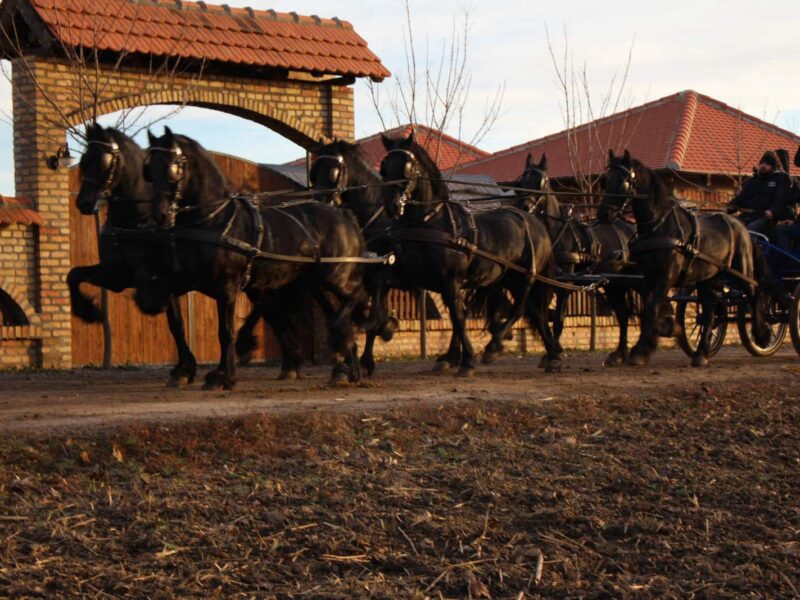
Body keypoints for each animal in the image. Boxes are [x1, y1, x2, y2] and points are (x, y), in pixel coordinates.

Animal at [70, 124, 198, 386]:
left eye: (103, 162)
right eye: (84, 160)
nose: (83, 203)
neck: (135, 220)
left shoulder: (164, 280)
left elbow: (176, 323)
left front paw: (184, 369)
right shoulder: (115, 275)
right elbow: (74, 275)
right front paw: (88, 311)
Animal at [139, 127, 370, 390]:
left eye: (172, 166)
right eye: (149, 170)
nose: (159, 215)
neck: (213, 219)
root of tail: (343, 215)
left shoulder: (227, 287)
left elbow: (225, 331)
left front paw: (223, 375)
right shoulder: (178, 283)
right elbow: (176, 324)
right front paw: (184, 371)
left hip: (335, 276)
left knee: (358, 295)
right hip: (317, 284)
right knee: (337, 312)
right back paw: (350, 368)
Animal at [378, 132, 560, 376]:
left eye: (408, 166)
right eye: (384, 167)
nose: (392, 205)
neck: (430, 221)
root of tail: (535, 222)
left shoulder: (451, 281)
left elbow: (458, 317)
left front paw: (467, 361)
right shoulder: (413, 277)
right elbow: (383, 286)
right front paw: (386, 326)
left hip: (524, 277)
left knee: (520, 308)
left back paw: (495, 347)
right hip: (509, 279)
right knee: (536, 312)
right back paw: (552, 356)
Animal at [516, 152, 640, 364]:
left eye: (540, 181)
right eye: (523, 180)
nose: (524, 206)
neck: (557, 234)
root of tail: (630, 228)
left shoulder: (565, 284)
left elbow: (559, 318)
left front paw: (555, 354)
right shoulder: (549, 283)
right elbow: (544, 317)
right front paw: (552, 351)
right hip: (614, 284)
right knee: (623, 314)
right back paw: (619, 354)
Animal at [600, 150, 768, 366]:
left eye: (624, 182)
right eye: (605, 181)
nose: (603, 214)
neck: (660, 226)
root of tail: (740, 225)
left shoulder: (667, 275)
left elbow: (652, 307)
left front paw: (642, 350)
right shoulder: (647, 277)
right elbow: (650, 308)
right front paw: (667, 329)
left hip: (741, 270)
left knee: (754, 292)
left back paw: (762, 334)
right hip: (707, 278)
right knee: (709, 311)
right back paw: (701, 353)